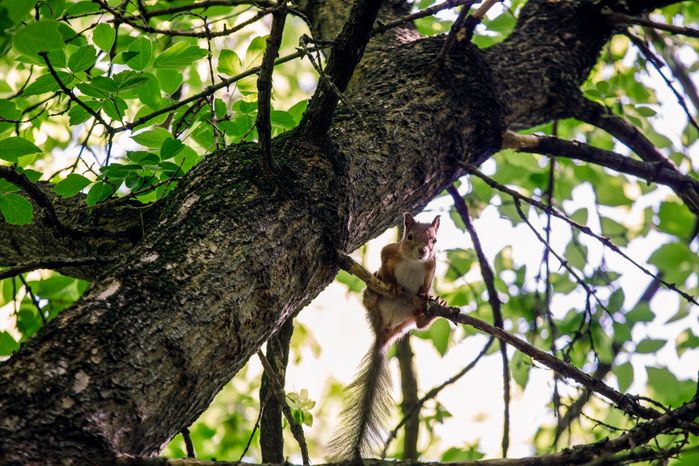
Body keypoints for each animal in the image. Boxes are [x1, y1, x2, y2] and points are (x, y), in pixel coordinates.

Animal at [329, 213, 443, 460]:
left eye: (434, 240)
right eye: (409, 236)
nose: (423, 251)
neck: (413, 262)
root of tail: (385, 331)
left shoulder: (431, 266)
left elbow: (427, 284)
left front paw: (426, 294)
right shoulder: (391, 251)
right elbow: (384, 259)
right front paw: (390, 282)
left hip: (409, 318)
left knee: (419, 324)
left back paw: (429, 313)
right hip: (374, 309)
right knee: (371, 300)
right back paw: (374, 291)